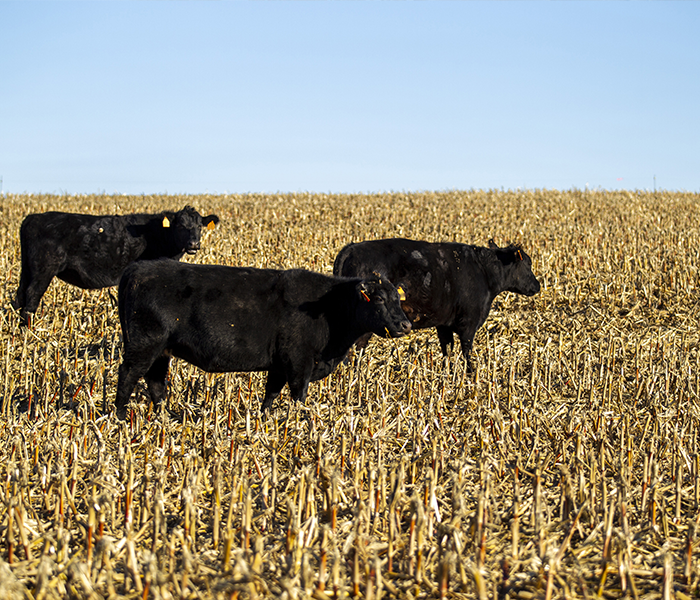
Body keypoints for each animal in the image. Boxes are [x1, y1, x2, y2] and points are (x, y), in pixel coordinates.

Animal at [11, 207, 219, 328]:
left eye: (199, 226)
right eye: (181, 225)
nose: (194, 244)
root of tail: (33, 217)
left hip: (27, 268)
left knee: (20, 294)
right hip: (43, 269)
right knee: (32, 295)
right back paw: (28, 330)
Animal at [114, 260, 410, 420]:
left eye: (398, 298)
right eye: (379, 299)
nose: (405, 324)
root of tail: (138, 268)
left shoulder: (279, 365)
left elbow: (271, 394)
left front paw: (264, 420)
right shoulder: (299, 362)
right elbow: (298, 396)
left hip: (161, 350)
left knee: (155, 383)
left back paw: (163, 418)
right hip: (144, 345)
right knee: (127, 376)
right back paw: (119, 417)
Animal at [334, 237, 540, 368]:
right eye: (528, 264)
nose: (537, 286)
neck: (483, 272)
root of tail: (351, 248)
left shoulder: (444, 324)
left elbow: (447, 350)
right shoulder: (469, 323)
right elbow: (466, 352)